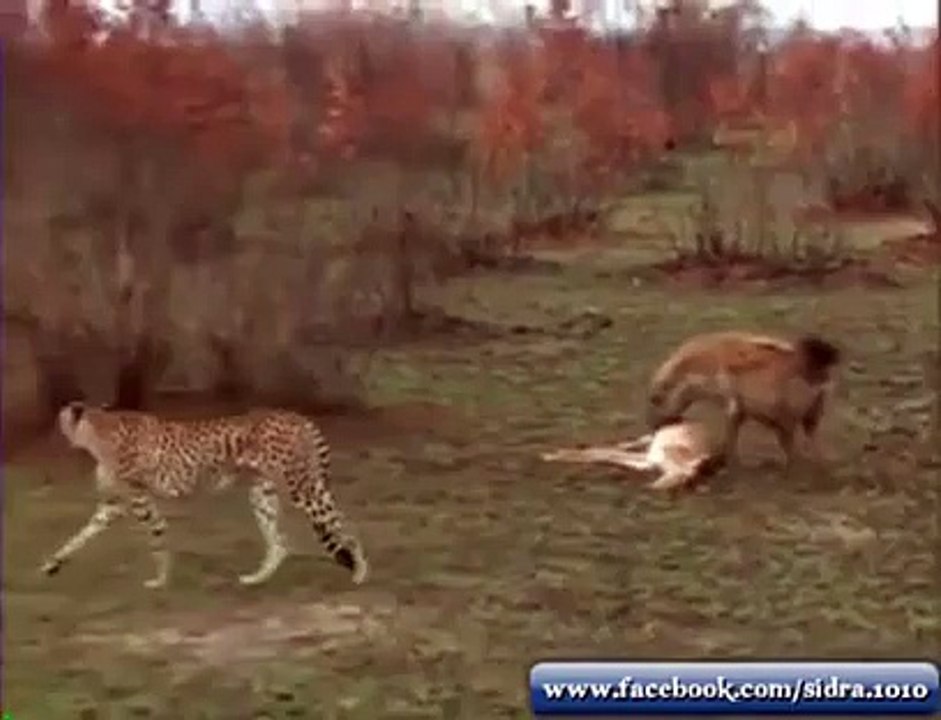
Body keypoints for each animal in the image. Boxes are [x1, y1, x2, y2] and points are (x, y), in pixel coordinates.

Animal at [40, 401, 368, 589]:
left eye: (61, 418)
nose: (56, 428)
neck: (97, 430)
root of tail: (296, 416)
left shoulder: (140, 500)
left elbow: (157, 538)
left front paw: (160, 579)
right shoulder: (113, 505)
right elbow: (79, 536)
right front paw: (52, 564)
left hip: (302, 487)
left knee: (343, 525)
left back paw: (360, 571)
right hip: (262, 494)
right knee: (280, 542)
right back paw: (256, 578)